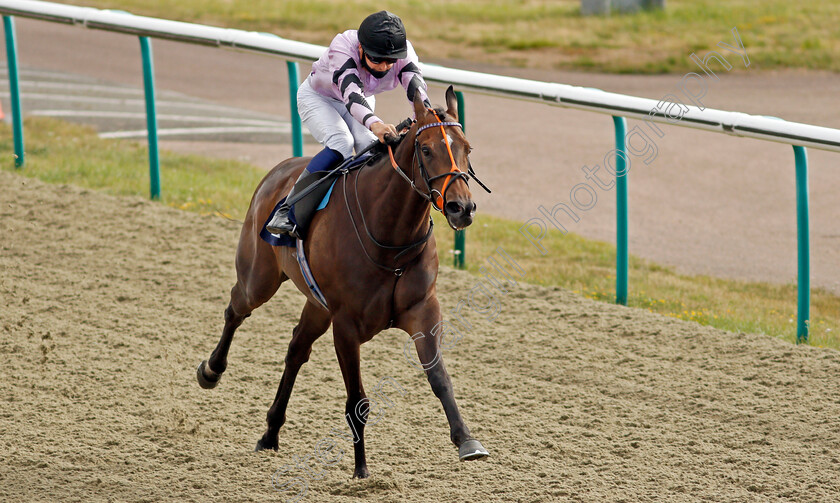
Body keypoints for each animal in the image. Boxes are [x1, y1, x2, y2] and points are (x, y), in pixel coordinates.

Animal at [197, 85, 488, 476]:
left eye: (466, 148)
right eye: (427, 150)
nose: (462, 208)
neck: (391, 239)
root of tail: (279, 169)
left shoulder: (423, 311)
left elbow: (440, 378)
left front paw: (467, 440)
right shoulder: (346, 325)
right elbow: (357, 401)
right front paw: (361, 469)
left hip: (317, 306)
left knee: (296, 349)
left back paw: (270, 433)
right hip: (259, 277)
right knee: (235, 309)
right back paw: (211, 370)